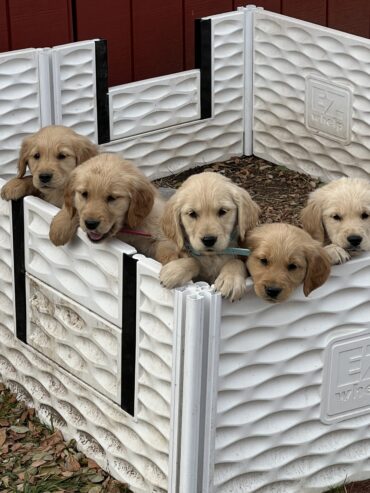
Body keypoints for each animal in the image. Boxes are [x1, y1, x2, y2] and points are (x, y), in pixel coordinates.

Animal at [48, 153, 178, 264]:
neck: (124, 228)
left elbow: (167, 248)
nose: (91, 223)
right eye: (84, 194)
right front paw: (59, 228)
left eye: (112, 198)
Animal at [159, 173, 260, 304]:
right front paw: (175, 270)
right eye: (192, 213)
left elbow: (236, 261)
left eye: (223, 211)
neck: (212, 257)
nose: (208, 240)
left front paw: (231, 280)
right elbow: (195, 261)